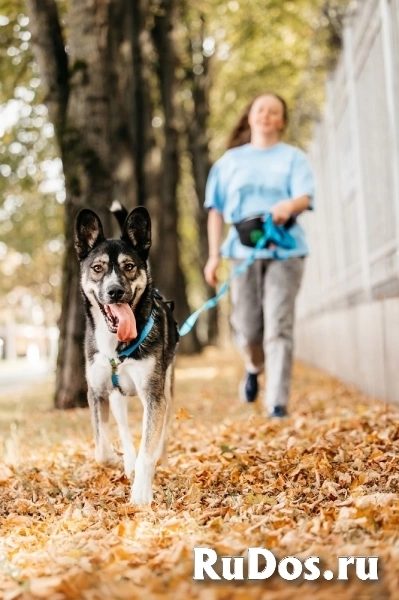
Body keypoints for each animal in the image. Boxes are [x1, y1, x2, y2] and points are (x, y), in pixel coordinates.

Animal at [74, 206, 180, 506]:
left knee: (161, 430)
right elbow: (101, 450)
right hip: (116, 396)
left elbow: (148, 447)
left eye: (129, 266)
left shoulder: (154, 395)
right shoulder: (97, 392)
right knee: (122, 428)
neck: (116, 345)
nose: (115, 291)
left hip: (167, 386)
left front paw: (142, 493)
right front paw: (119, 462)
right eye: (97, 268)